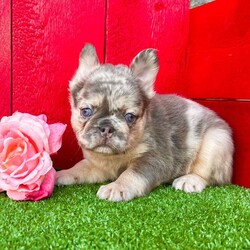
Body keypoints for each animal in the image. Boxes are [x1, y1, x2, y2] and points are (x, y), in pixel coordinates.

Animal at [55, 44, 233, 202]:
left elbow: (132, 173)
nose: (106, 127)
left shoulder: (153, 159)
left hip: (215, 142)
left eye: (130, 117)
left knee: (209, 175)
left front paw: (117, 187)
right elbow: (80, 167)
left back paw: (189, 180)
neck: (114, 156)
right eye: (86, 111)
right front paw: (62, 174)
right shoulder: (98, 166)